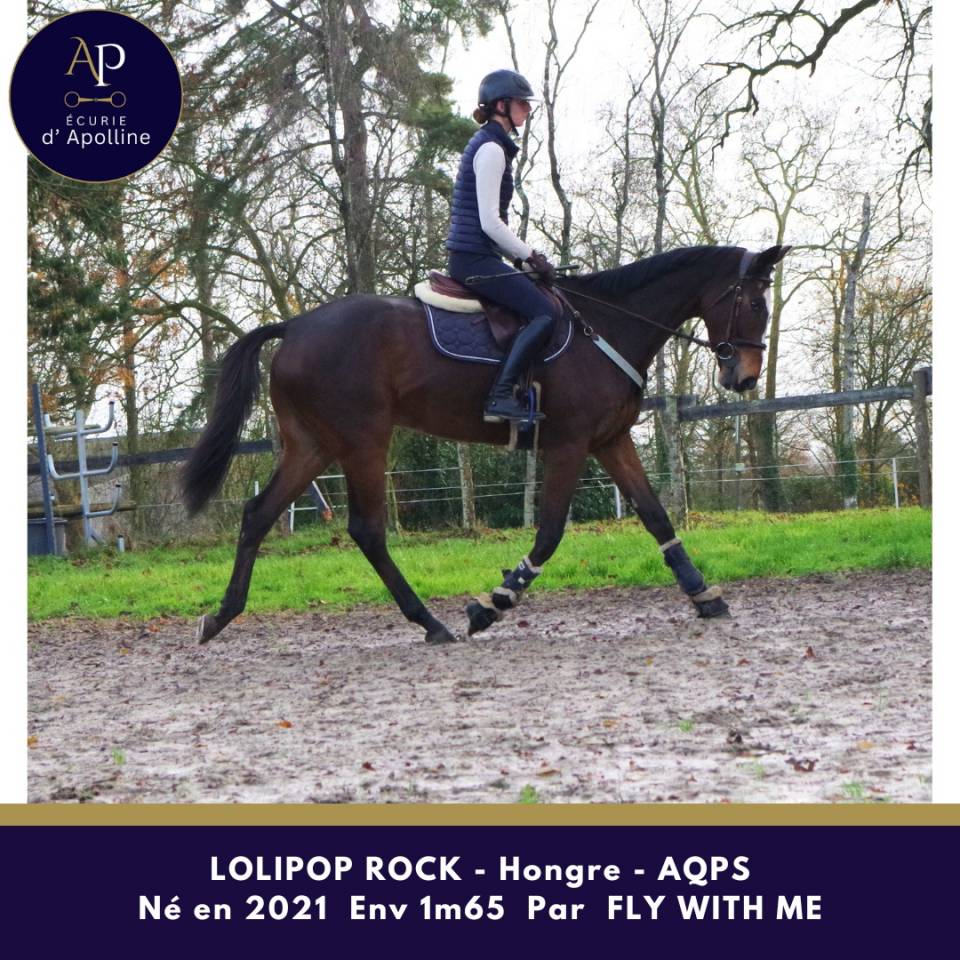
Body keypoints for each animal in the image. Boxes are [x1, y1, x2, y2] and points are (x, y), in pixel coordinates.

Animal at [182, 243, 790, 645]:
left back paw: (220, 616)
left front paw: (705, 595)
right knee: (367, 531)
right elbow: (550, 533)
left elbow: (656, 517)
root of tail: (294, 326)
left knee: (259, 515)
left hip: (314, 445)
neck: (605, 326)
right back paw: (431, 622)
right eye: (756, 304)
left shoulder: (611, 440)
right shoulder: (569, 445)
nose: (745, 377)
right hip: (363, 441)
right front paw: (492, 605)